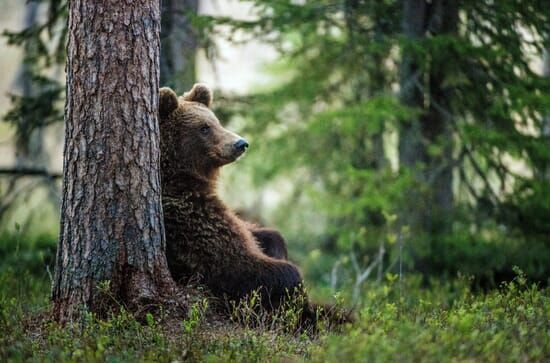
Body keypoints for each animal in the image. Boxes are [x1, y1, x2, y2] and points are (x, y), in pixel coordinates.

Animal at [160, 83, 304, 310]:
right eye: (204, 128)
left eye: (216, 121)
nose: (241, 143)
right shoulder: (191, 222)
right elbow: (236, 264)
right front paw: (292, 282)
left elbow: (261, 233)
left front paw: (276, 246)